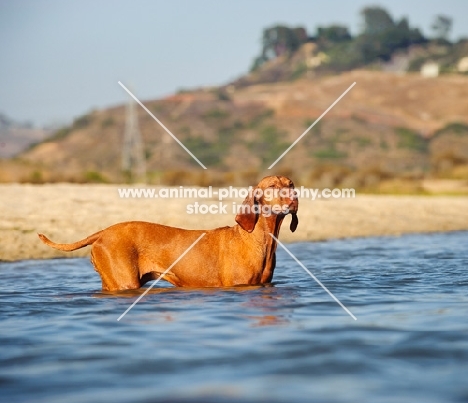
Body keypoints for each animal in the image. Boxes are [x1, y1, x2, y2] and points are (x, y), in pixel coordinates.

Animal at [38, 176, 298, 290]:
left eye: (291, 184)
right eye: (272, 186)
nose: (293, 198)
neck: (260, 239)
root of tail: (103, 231)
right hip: (125, 281)